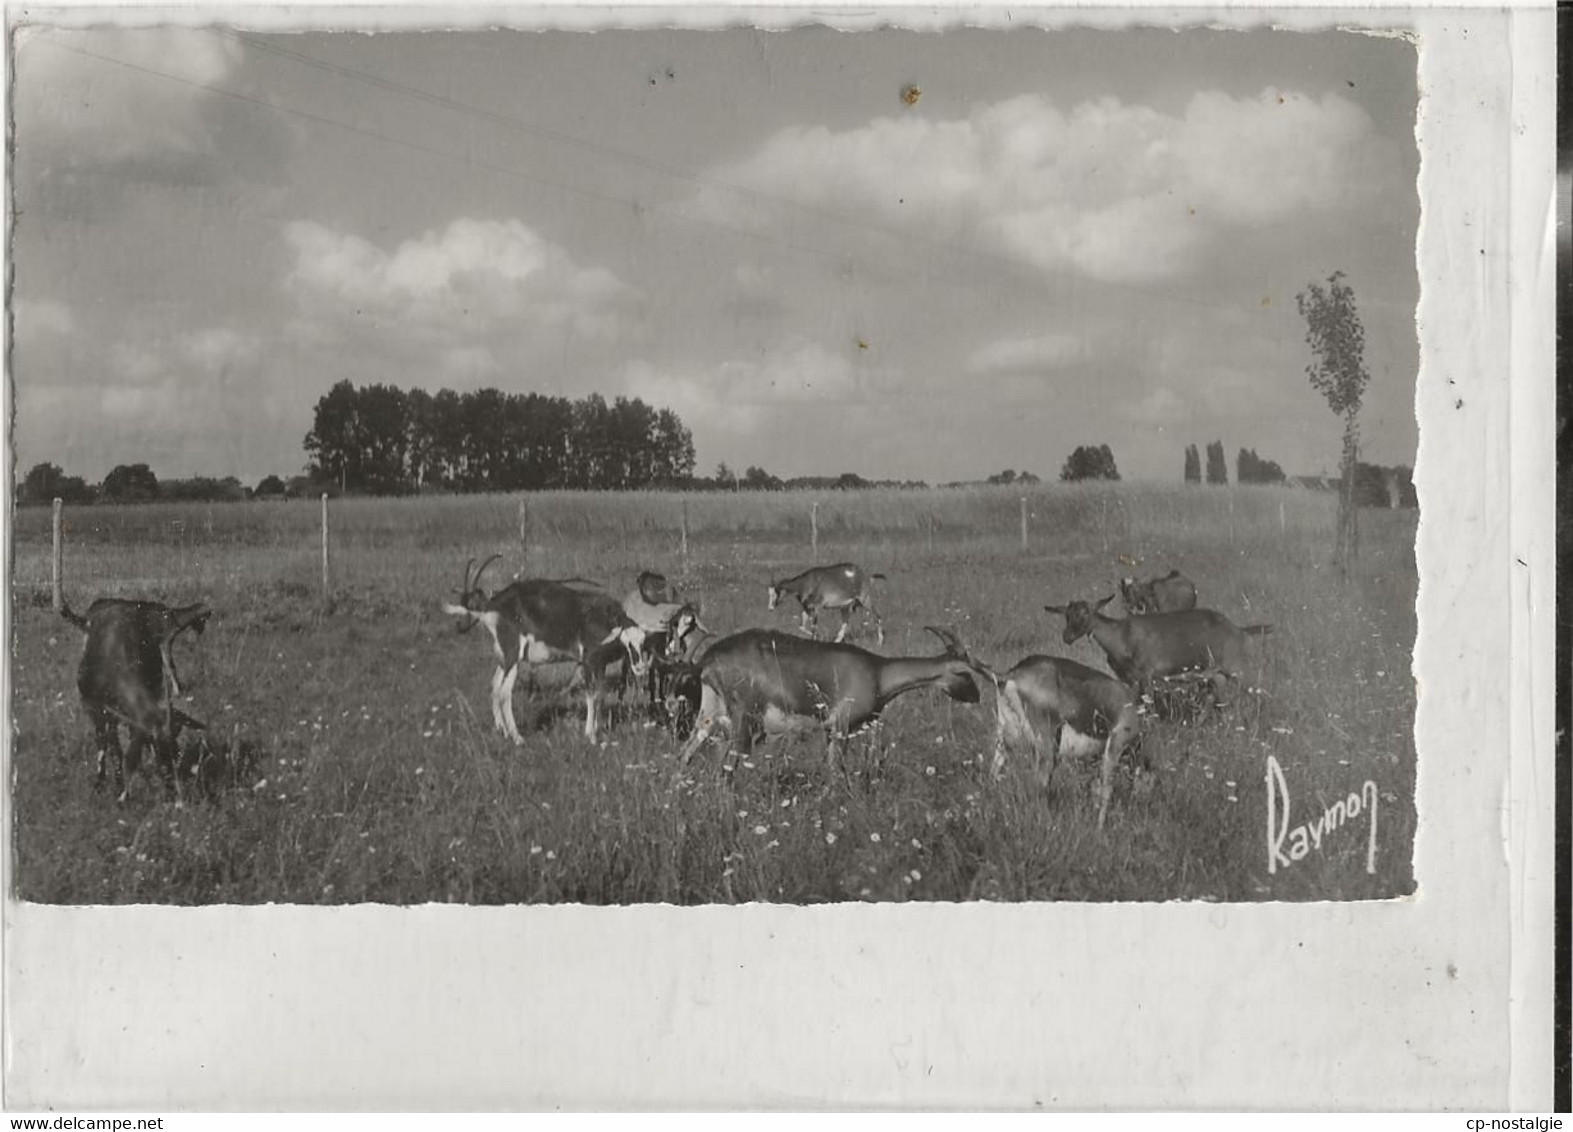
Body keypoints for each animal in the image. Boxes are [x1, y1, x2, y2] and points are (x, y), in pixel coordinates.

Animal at [60, 597, 210, 801]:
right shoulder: (97, 709)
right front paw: (109, 786)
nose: (174, 793)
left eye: (176, 748)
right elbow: (108, 748)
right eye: (161, 761)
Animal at [440, 553, 648, 742]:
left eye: (642, 642)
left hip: (505, 659)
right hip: (512, 658)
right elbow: (592, 694)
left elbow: (601, 694)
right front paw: (591, 735)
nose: (640, 667)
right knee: (504, 693)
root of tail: (493, 606)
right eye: (627, 643)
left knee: (495, 687)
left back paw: (503, 731)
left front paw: (598, 729)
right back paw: (518, 738)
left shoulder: (600, 664)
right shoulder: (589, 661)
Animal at [679, 622, 975, 773]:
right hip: (743, 722)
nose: (977, 697)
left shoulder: (830, 731)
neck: (878, 672)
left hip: (709, 715)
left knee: (686, 754)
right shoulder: (842, 727)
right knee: (727, 768)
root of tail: (708, 659)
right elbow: (836, 772)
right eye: (965, 673)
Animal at [918, 628, 1145, 830]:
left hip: (1006, 740)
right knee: (1040, 784)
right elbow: (1107, 790)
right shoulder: (1115, 745)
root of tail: (1008, 676)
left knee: (993, 776)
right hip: (1047, 747)